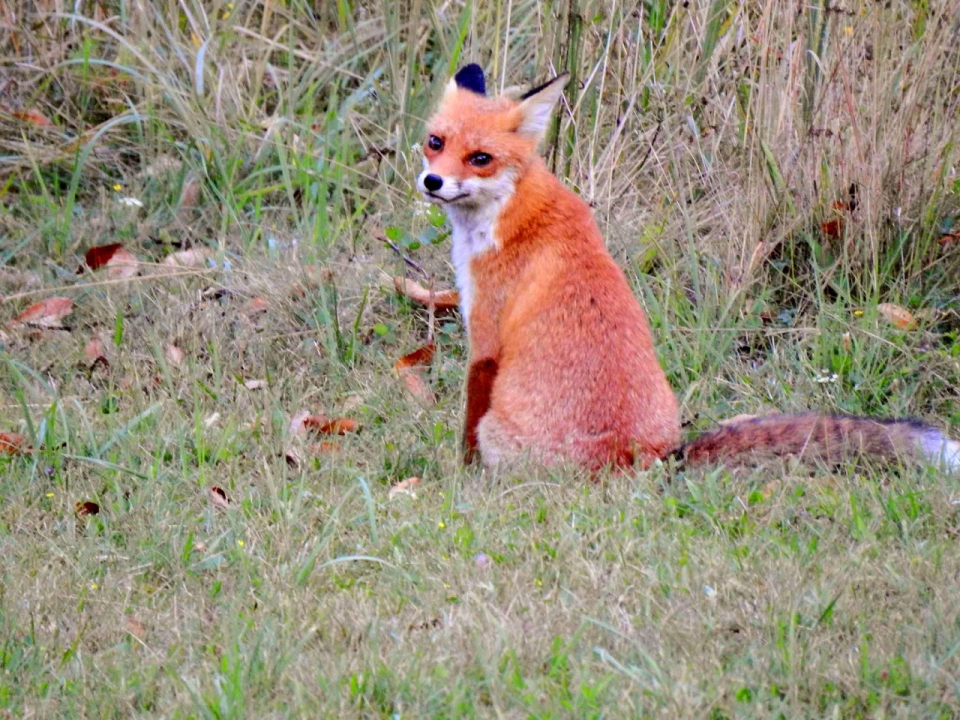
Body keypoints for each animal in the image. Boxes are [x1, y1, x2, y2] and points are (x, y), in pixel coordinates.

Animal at [418, 64, 960, 472]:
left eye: (480, 158)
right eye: (435, 142)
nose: (432, 182)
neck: (509, 212)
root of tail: (646, 461)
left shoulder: (485, 340)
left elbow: (467, 424)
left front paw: (458, 476)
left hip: (500, 430)